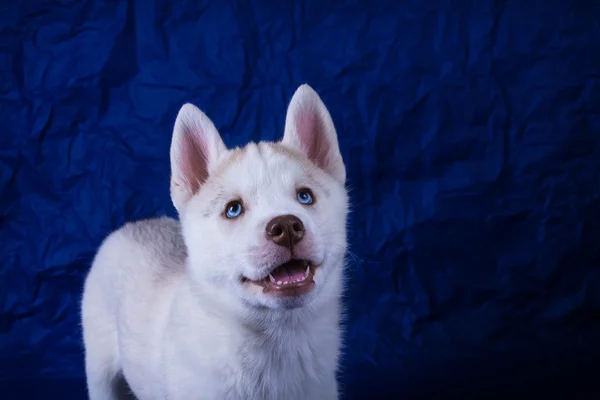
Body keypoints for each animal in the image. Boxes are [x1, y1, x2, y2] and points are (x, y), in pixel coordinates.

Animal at [82, 85, 350, 400]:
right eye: (233, 209)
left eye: (305, 196)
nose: (286, 227)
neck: (275, 338)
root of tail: (134, 225)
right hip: (99, 369)